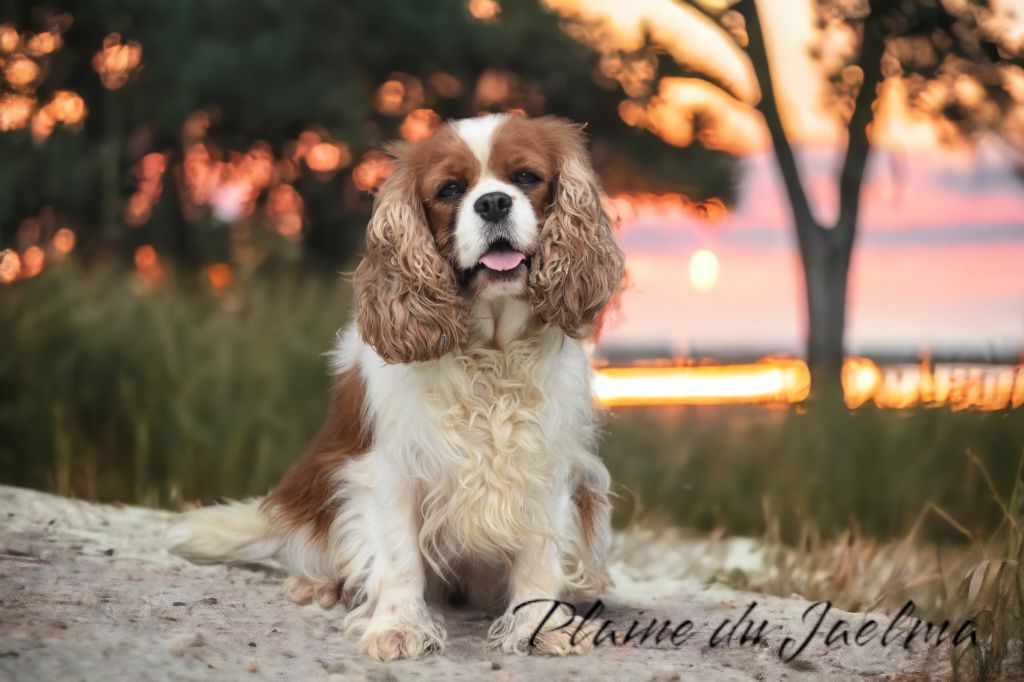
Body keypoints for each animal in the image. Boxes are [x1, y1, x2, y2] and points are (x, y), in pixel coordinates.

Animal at [167, 112, 622, 659]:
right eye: (450, 190)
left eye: (526, 178)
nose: (493, 202)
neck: (491, 352)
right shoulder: (389, 468)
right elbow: (399, 558)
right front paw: (398, 627)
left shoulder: (547, 462)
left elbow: (540, 553)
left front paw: (541, 624)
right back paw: (318, 585)